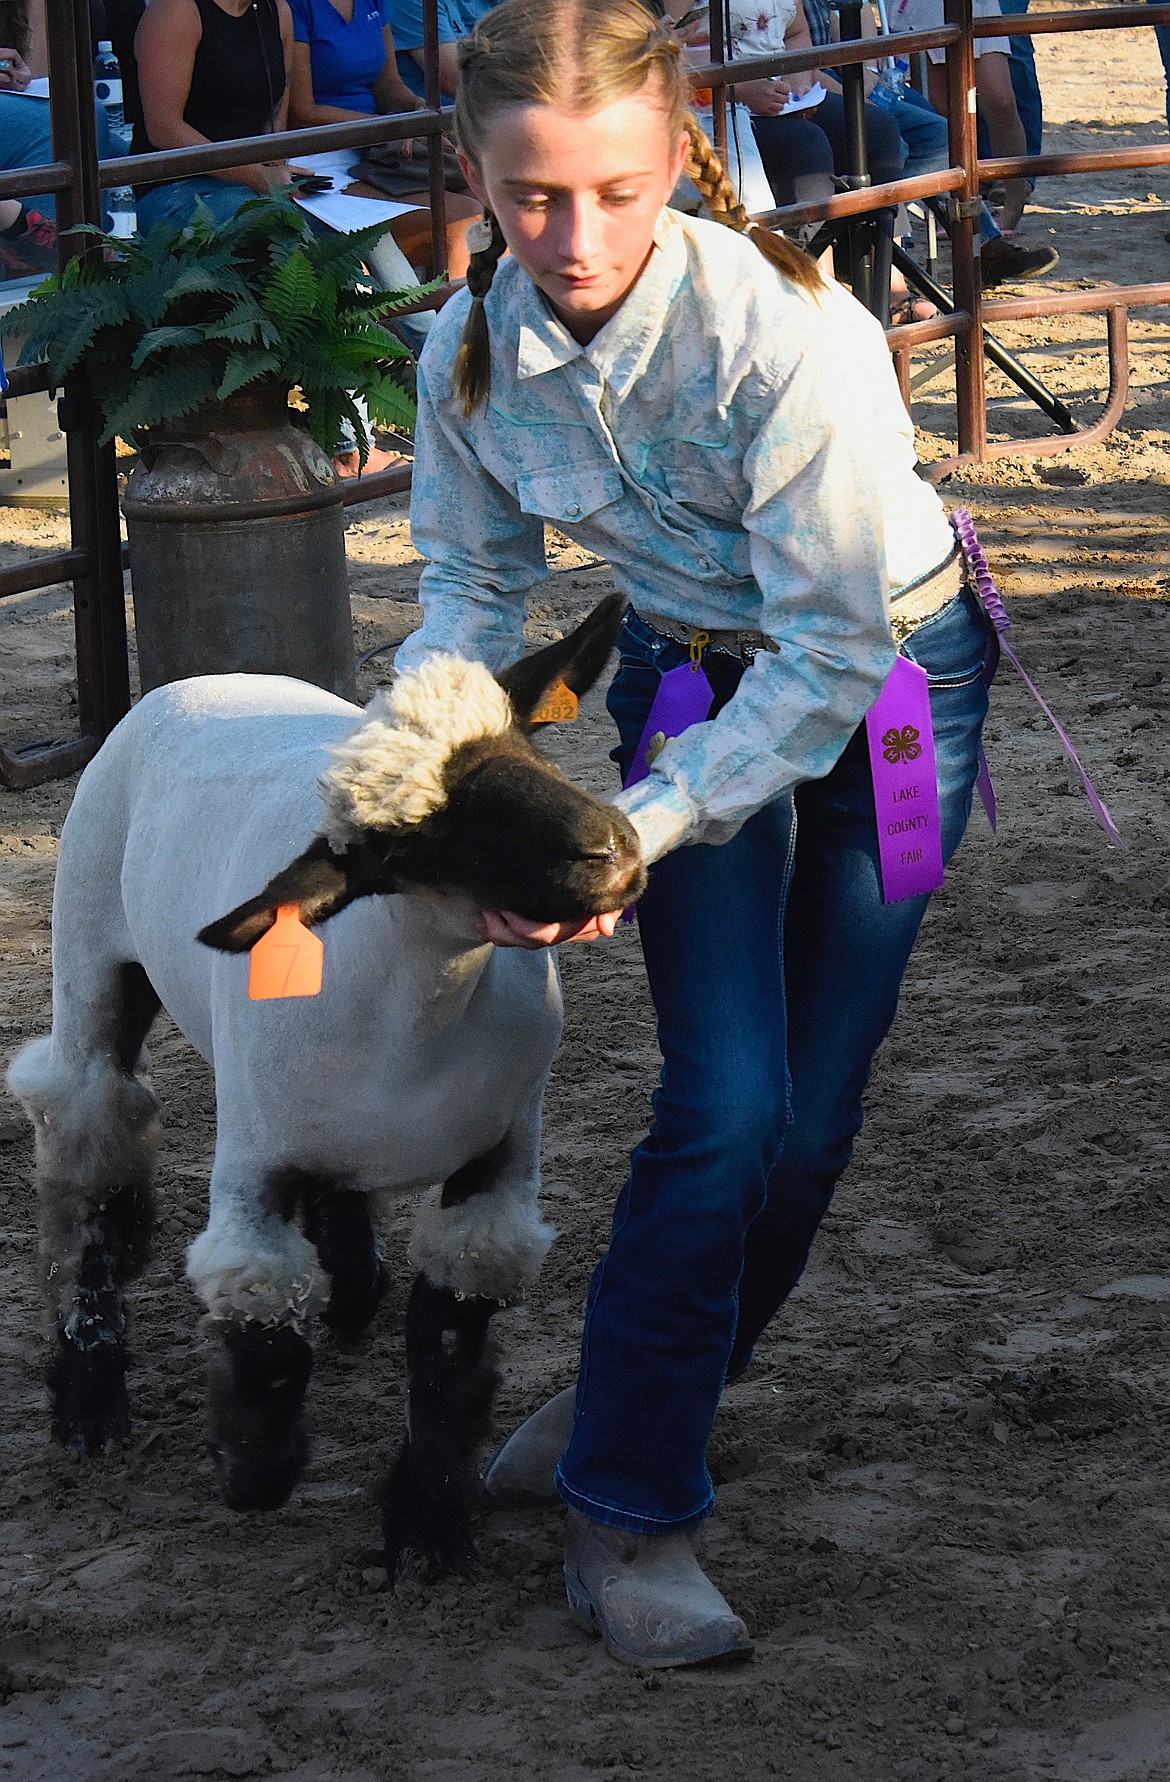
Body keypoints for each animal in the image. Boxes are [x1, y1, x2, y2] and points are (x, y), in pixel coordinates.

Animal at [4, 602, 644, 1589]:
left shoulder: (502, 1153)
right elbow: (263, 1320)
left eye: (523, 746)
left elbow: (448, 1337)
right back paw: (88, 1401)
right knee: (86, 1142)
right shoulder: (254, 1158)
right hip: (88, 952)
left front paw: (426, 1532)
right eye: (413, 840)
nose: (611, 851)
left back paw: (348, 1288)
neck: (409, 1021)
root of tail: (201, 680)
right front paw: (252, 1469)